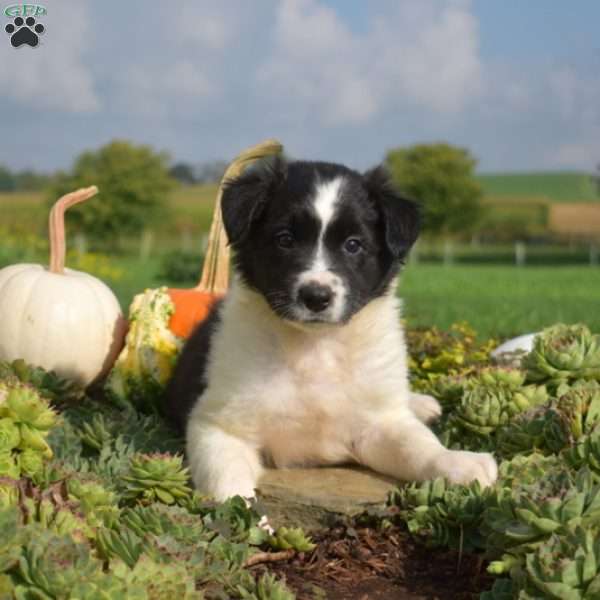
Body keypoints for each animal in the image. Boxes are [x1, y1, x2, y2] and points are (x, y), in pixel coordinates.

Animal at [164, 159, 496, 502]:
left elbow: (418, 446)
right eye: (285, 239)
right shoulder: (218, 425)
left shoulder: (379, 423)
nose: (316, 297)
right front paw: (248, 515)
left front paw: (456, 462)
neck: (316, 346)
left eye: (353, 245)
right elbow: (229, 488)